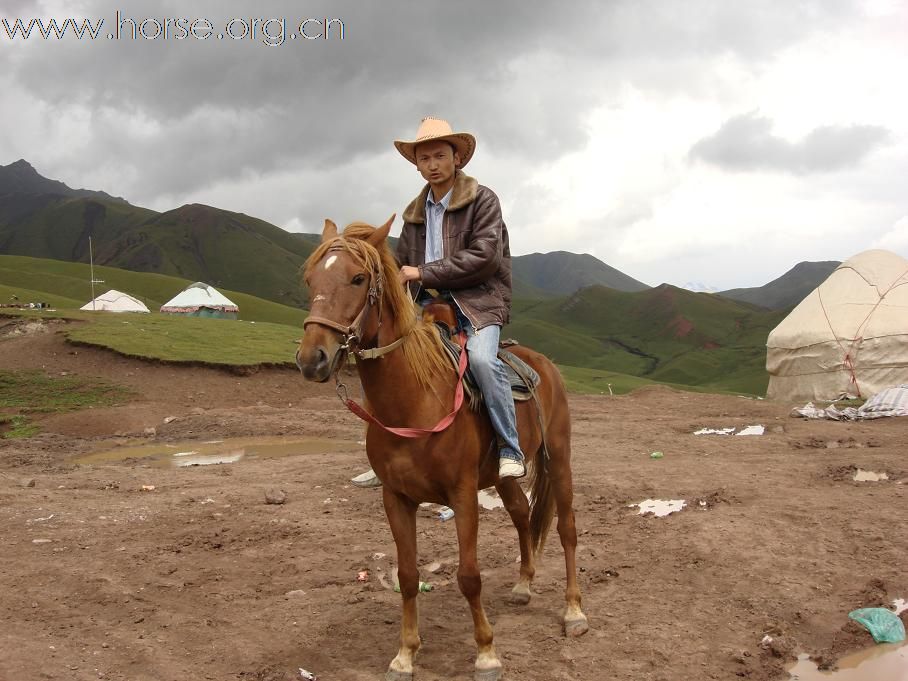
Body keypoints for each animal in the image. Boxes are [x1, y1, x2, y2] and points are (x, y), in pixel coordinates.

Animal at [298, 216, 588, 680]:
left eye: (358, 278)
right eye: (311, 280)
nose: (313, 360)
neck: (413, 401)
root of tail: (543, 364)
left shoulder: (462, 495)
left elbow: (469, 576)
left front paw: (486, 653)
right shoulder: (396, 498)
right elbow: (407, 575)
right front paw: (405, 654)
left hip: (559, 458)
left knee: (566, 529)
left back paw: (574, 611)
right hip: (502, 476)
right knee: (522, 516)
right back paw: (523, 585)